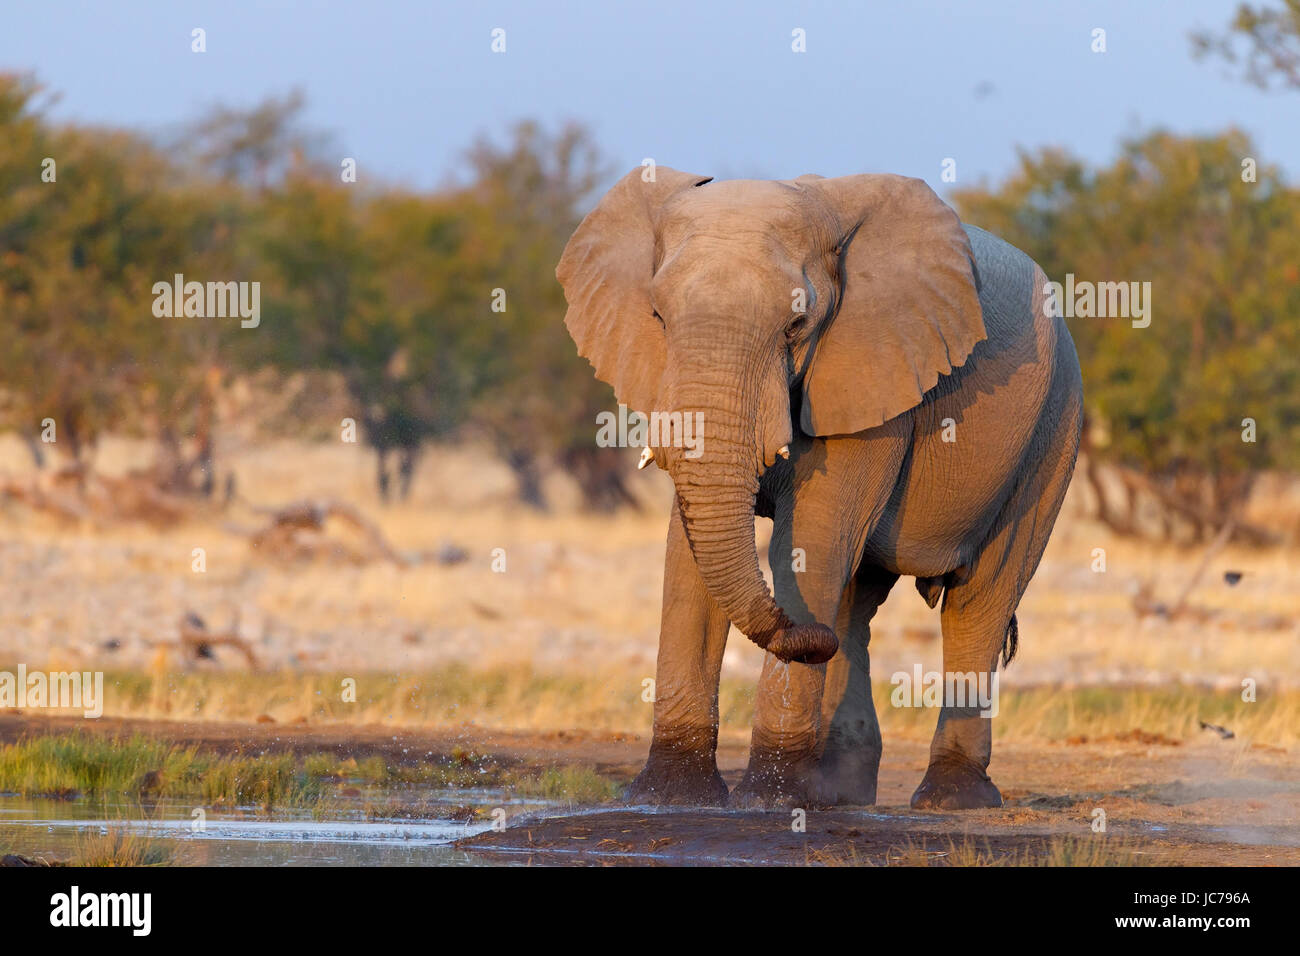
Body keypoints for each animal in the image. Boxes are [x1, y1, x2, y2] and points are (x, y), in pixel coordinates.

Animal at [553, 164, 1081, 806]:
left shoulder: (870, 370)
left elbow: (808, 543)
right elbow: (687, 558)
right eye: (657, 317)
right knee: (857, 606)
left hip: (1052, 433)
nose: (806, 634)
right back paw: (840, 791)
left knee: (979, 598)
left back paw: (949, 797)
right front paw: (668, 797)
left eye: (797, 324)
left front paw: (770, 800)